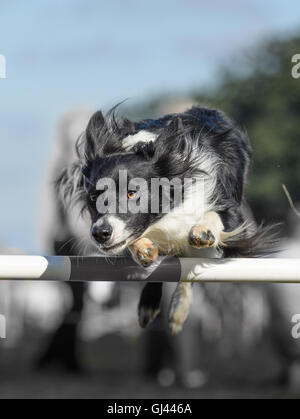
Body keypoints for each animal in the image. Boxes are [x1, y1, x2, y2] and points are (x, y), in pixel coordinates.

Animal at [57, 106, 278, 336]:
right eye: (93, 197)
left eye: (131, 193)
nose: (100, 234)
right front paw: (142, 248)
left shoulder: (232, 217)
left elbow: (213, 217)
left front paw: (203, 230)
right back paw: (150, 305)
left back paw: (178, 308)